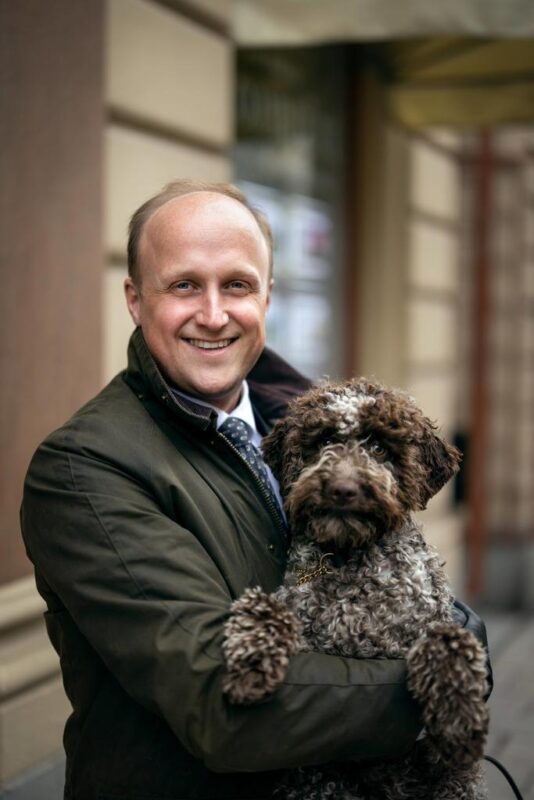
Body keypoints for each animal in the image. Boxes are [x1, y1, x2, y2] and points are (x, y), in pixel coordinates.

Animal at [222, 378, 489, 800]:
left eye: (379, 446)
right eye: (324, 440)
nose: (343, 489)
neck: (352, 563)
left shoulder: (428, 625)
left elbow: (447, 638)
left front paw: (458, 717)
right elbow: (270, 608)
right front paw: (251, 660)